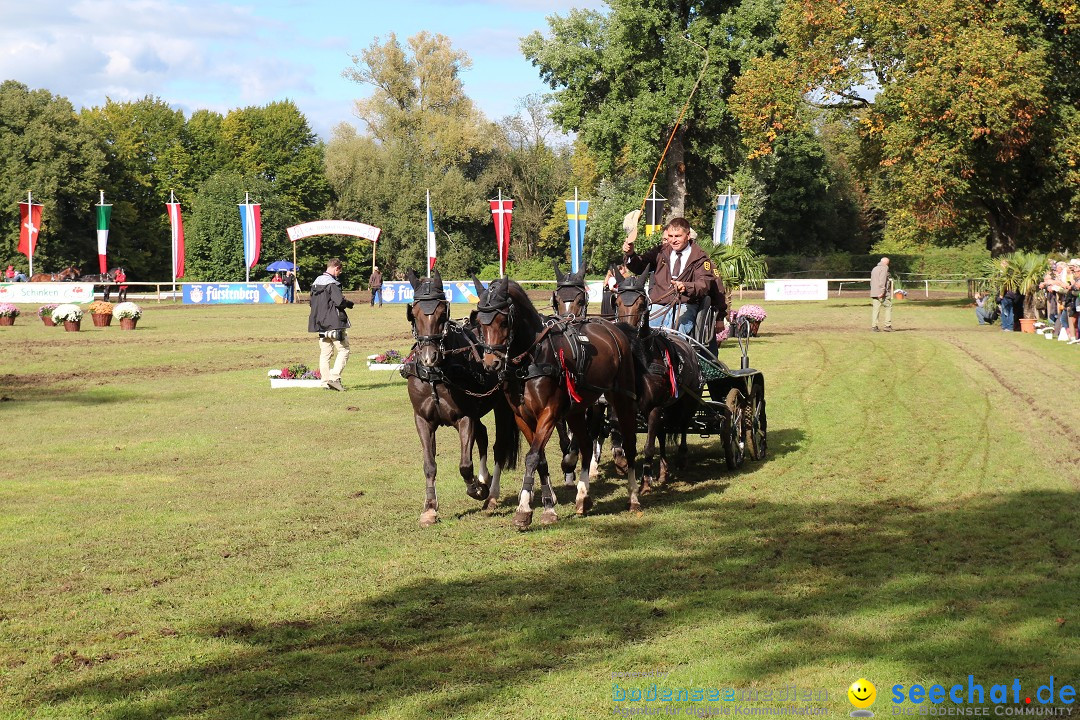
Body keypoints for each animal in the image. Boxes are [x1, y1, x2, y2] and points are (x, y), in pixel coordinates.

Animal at [406, 269, 522, 528]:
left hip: (502, 408)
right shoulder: (422, 420)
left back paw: (491, 493)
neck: (437, 375)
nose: (428, 357)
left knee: (499, 447)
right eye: (414, 314)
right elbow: (429, 465)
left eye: (442, 312)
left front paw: (477, 489)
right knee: (483, 436)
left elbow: (465, 466)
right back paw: (485, 477)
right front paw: (430, 508)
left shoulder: (465, 418)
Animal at [468, 276, 635, 528]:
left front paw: (524, 508)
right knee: (586, 444)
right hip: (576, 410)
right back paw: (583, 496)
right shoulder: (523, 418)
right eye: (479, 322)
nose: (491, 363)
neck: (530, 360)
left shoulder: (549, 413)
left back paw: (634, 495)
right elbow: (541, 460)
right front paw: (548, 506)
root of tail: (612, 327)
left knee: (628, 440)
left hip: (621, 399)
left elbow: (532, 457)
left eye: (504, 320)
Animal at [613, 267, 704, 492]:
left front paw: (646, 481)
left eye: (641, 303)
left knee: (682, 426)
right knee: (663, 433)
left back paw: (681, 458)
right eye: (617, 301)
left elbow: (648, 446)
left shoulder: (654, 408)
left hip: (688, 401)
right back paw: (663, 470)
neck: (641, 358)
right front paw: (622, 463)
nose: (626, 331)